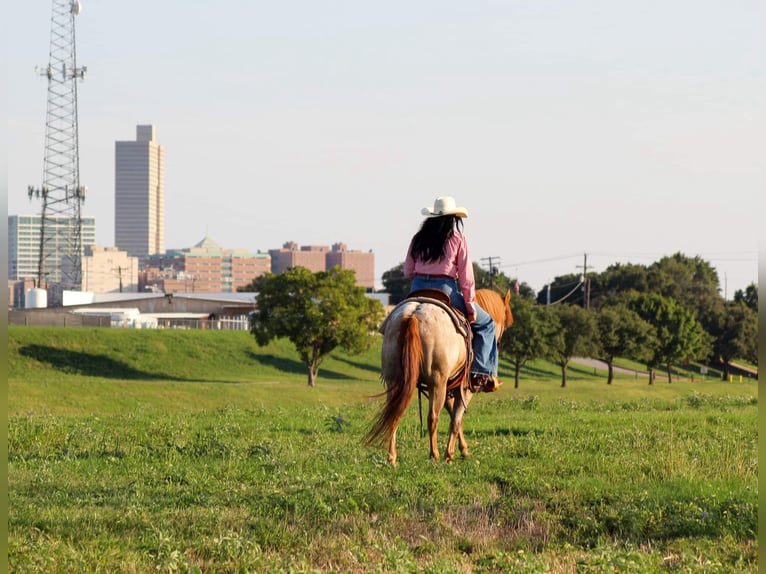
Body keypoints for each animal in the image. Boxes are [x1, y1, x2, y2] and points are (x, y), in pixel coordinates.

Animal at [364, 288, 512, 468]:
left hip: (395, 380)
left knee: (395, 413)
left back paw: (392, 457)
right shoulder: (464, 388)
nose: (499, 343)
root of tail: (415, 313)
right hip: (437, 383)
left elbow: (455, 416)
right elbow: (456, 419)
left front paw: (463, 450)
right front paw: (450, 455)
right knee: (432, 418)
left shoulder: (449, 387)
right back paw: (434, 454)